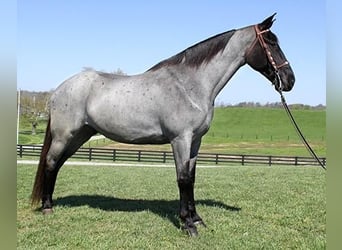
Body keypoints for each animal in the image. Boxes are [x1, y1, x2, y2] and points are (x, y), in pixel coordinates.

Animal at [31, 13, 294, 236]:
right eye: (271, 43)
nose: (289, 80)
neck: (190, 85)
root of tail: (58, 90)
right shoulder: (180, 139)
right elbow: (183, 179)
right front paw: (188, 225)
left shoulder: (195, 141)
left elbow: (192, 177)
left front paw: (196, 218)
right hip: (64, 135)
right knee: (51, 162)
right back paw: (47, 207)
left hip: (80, 135)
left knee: (58, 164)